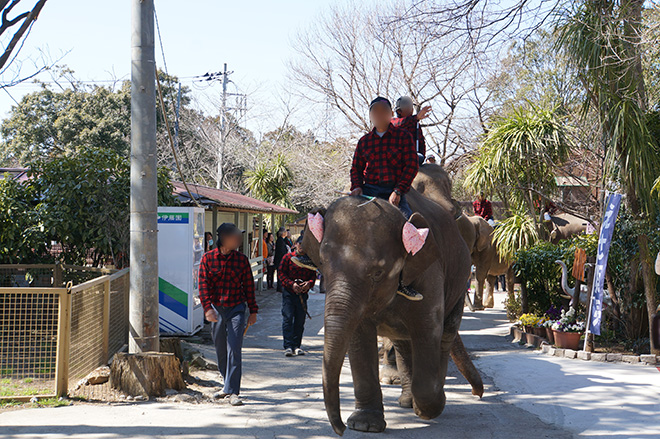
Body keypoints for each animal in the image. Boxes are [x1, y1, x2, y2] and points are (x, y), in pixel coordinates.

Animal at [302, 189, 482, 435]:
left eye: (378, 273)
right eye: (321, 264)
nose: (340, 429)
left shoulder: (429, 275)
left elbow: (427, 331)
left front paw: (428, 410)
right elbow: (359, 337)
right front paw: (364, 425)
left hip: (460, 280)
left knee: (445, 336)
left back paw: (430, 400)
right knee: (403, 343)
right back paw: (407, 401)